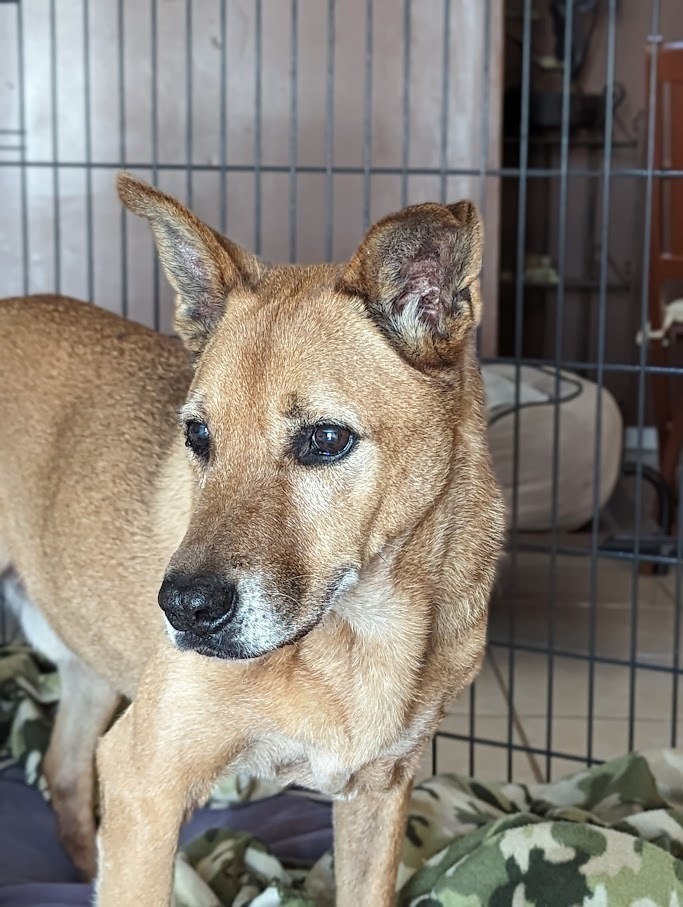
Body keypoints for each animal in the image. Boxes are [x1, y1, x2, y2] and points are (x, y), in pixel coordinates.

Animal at [0, 172, 502, 907]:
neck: (364, 628)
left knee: (63, 769)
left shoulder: (378, 795)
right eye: (197, 435)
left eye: (325, 440)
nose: (183, 610)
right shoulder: (146, 783)